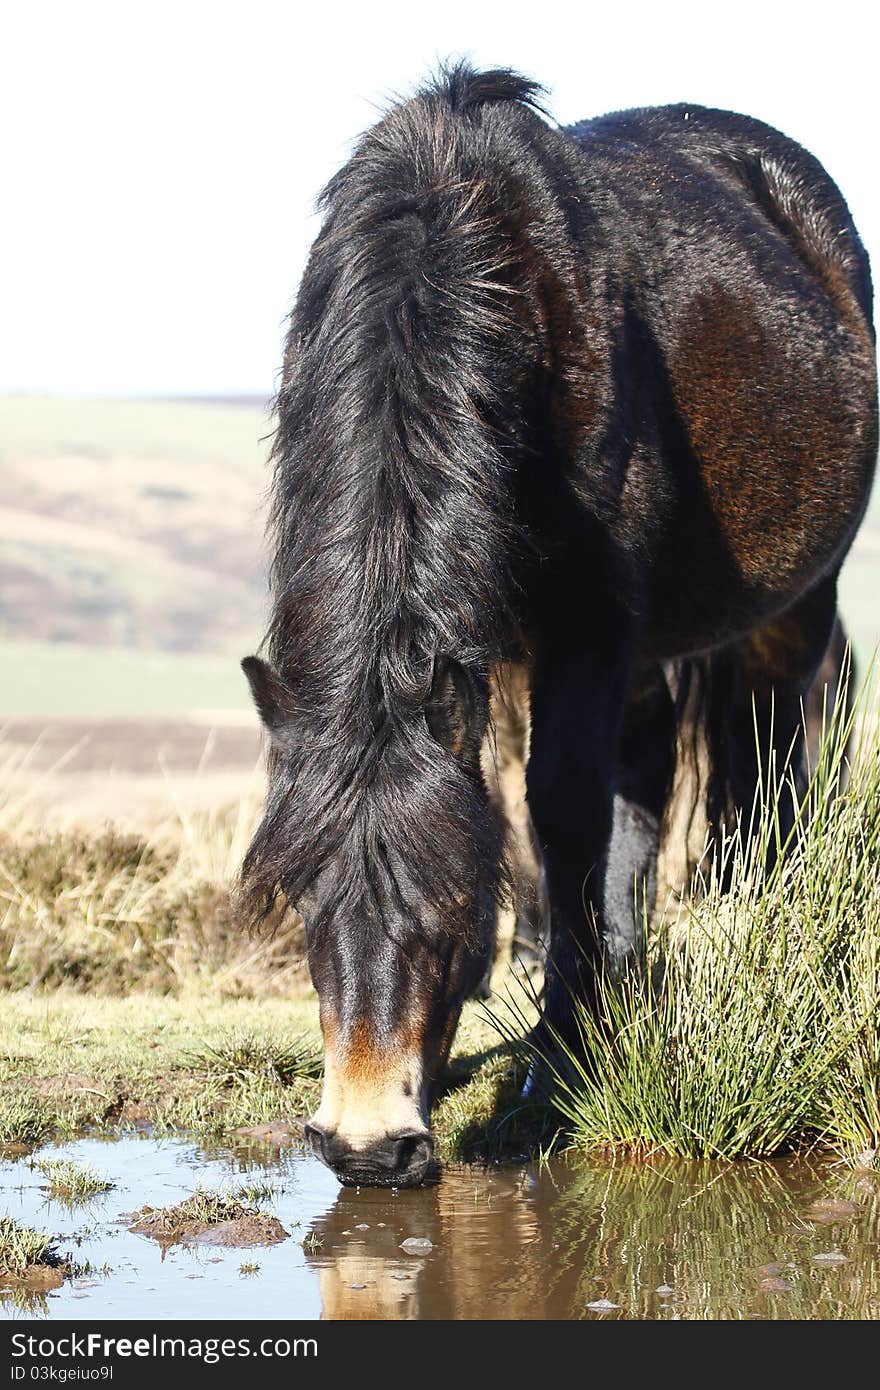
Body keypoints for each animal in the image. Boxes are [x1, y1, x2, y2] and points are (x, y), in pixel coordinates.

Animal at [236, 65, 873, 1184]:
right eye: (303, 901)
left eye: (448, 907)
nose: (368, 1149)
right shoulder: (511, 658)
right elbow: (528, 816)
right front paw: (560, 984)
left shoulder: (586, 630)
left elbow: (562, 811)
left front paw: (556, 1055)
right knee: (650, 777)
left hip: (790, 610)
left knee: (764, 756)